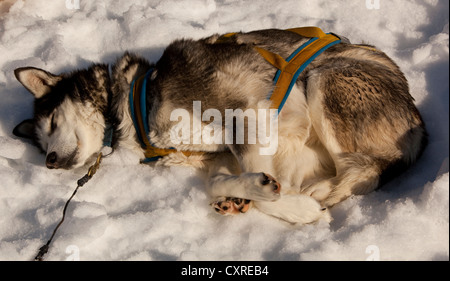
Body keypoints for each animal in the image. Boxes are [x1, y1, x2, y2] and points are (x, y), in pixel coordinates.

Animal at [11, 27, 426, 222]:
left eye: (51, 122)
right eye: (40, 143)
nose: (49, 161)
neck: (134, 103)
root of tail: (418, 121)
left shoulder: (245, 112)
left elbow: (263, 179)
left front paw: (292, 206)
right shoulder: (220, 152)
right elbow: (220, 182)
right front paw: (258, 200)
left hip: (324, 79)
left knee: (366, 170)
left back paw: (322, 191)